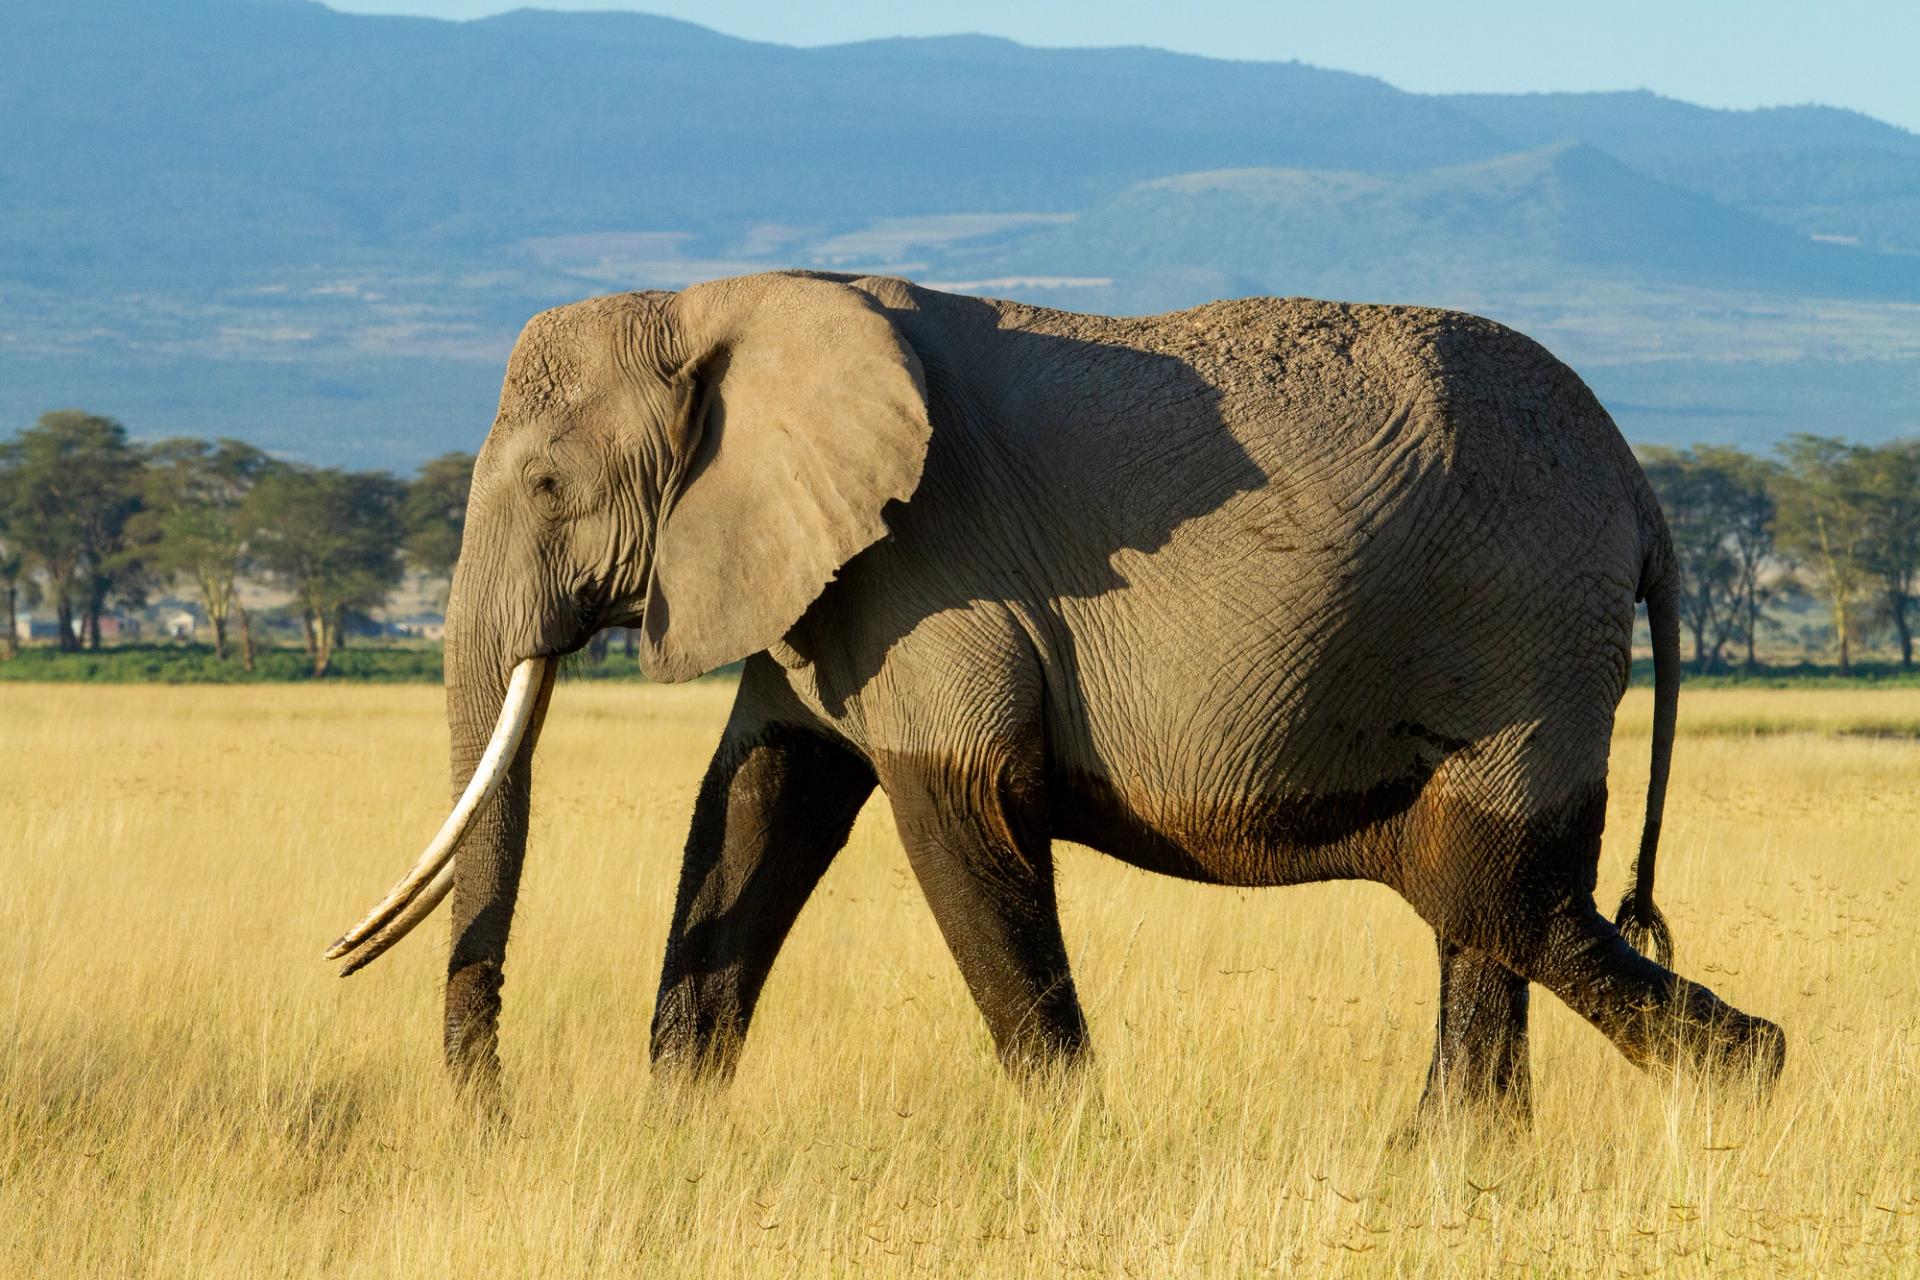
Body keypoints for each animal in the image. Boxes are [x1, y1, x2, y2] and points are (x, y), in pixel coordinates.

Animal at [326, 270, 1784, 1127]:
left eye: (548, 487)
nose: (492, 1120)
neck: (719, 299)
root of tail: (1645, 494)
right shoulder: (814, 570)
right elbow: (761, 801)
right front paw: (677, 1137)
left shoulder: (930, 567)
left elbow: (960, 813)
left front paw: (1075, 1151)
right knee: (1473, 896)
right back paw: (1455, 1164)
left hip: (1522, 629)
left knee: (1487, 883)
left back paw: (1746, 1089)